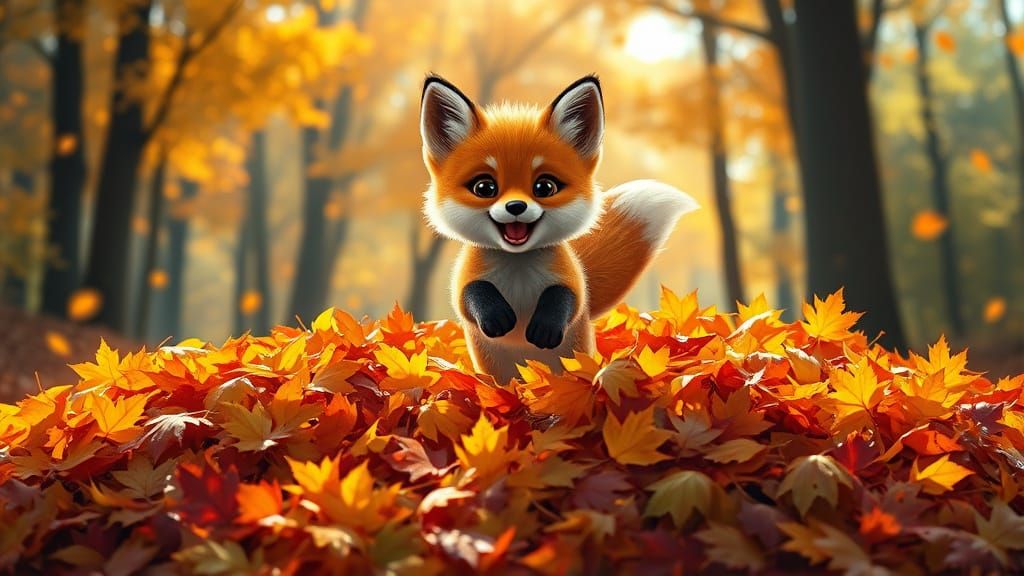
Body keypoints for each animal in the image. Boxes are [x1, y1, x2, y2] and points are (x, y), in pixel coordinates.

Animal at [419, 74, 699, 383]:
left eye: (544, 187)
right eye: (484, 188)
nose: (516, 206)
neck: (518, 270)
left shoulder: (571, 281)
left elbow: (564, 297)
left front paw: (545, 327)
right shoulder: (464, 281)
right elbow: (471, 293)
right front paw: (496, 316)